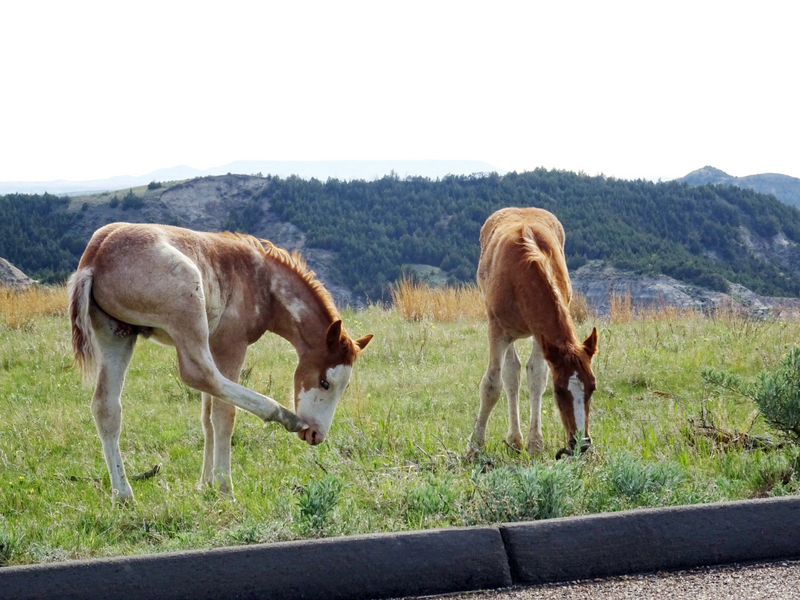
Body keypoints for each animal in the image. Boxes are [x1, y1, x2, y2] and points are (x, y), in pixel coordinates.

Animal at [67, 221, 374, 502]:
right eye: (325, 382)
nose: (316, 435)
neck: (262, 281)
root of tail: (95, 257)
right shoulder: (230, 344)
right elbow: (223, 415)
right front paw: (224, 488)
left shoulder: (214, 345)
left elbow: (207, 417)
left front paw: (205, 483)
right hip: (187, 314)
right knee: (198, 374)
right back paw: (282, 415)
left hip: (116, 335)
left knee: (106, 407)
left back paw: (122, 494)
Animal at [466, 209, 596, 458]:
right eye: (559, 391)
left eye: (592, 387)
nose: (581, 444)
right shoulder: (497, 330)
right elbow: (491, 385)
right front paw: (474, 447)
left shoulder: (540, 334)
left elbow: (536, 377)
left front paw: (535, 444)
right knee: (510, 374)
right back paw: (514, 440)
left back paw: (516, 441)